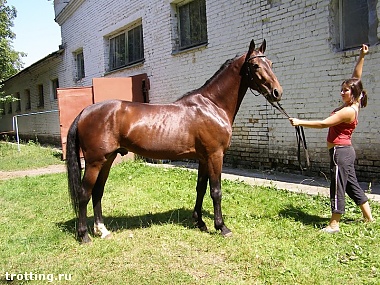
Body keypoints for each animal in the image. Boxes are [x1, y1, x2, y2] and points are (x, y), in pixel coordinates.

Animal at [67, 38, 282, 242]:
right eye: (255, 66)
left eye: (271, 63)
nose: (277, 92)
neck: (212, 105)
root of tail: (85, 111)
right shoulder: (215, 156)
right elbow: (216, 191)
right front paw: (222, 227)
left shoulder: (203, 158)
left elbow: (200, 188)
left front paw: (200, 222)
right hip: (95, 162)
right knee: (84, 194)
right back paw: (84, 235)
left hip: (107, 159)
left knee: (97, 191)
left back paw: (102, 230)